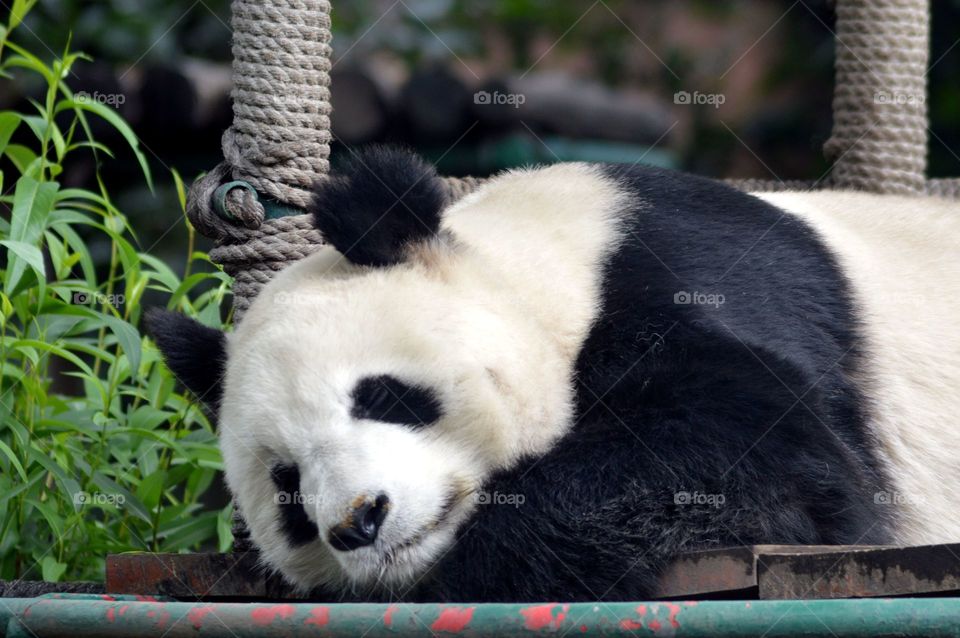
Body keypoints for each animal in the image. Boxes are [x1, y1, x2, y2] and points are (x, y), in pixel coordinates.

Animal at [148, 147, 960, 602]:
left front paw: (491, 556)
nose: (358, 521)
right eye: (286, 483)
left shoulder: (696, 282)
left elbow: (773, 460)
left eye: (382, 396)